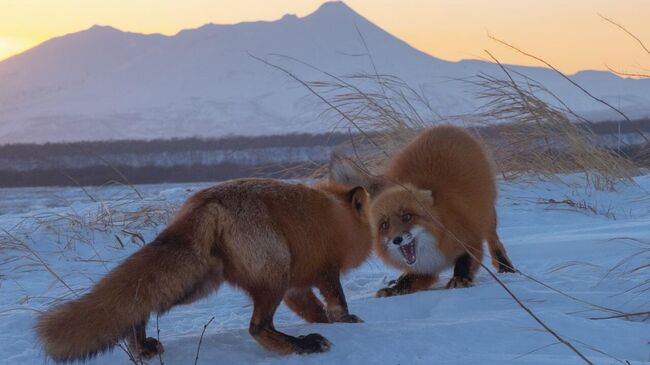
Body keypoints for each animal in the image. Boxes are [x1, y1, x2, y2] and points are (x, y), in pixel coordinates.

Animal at [36, 178, 370, 360]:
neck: (341, 219)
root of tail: (204, 201)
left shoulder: (296, 287)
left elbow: (315, 310)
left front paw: (329, 322)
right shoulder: (324, 270)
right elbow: (337, 301)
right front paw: (346, 321)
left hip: (197, 284)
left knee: (141, 305)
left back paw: (140, 347)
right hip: (273, 275)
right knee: (258, 328)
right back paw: (303, 345)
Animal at [332, 125, 512, 296]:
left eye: (407, 216)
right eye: (384, 225)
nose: (397, 240)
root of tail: (445, 127)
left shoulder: (470, 238)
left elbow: (464, 263)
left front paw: (459, 279)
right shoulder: (425, 268)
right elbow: (409, 281)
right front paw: (394, 289)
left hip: (486, 214)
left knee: (493, 239)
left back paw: (505, 267)